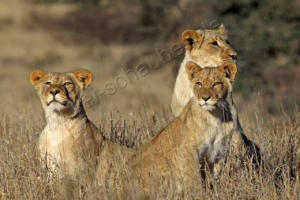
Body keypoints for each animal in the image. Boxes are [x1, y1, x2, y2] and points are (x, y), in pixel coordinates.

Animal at [130, 62, 238, 197]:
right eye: (199, 83)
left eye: (216, 83)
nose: (205, 98)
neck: (214, 117)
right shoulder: (188, 150)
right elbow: (193, 177)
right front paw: (197, 194)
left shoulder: (219, 152)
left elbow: (214, 178)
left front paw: (214, 193)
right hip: (162, 161)